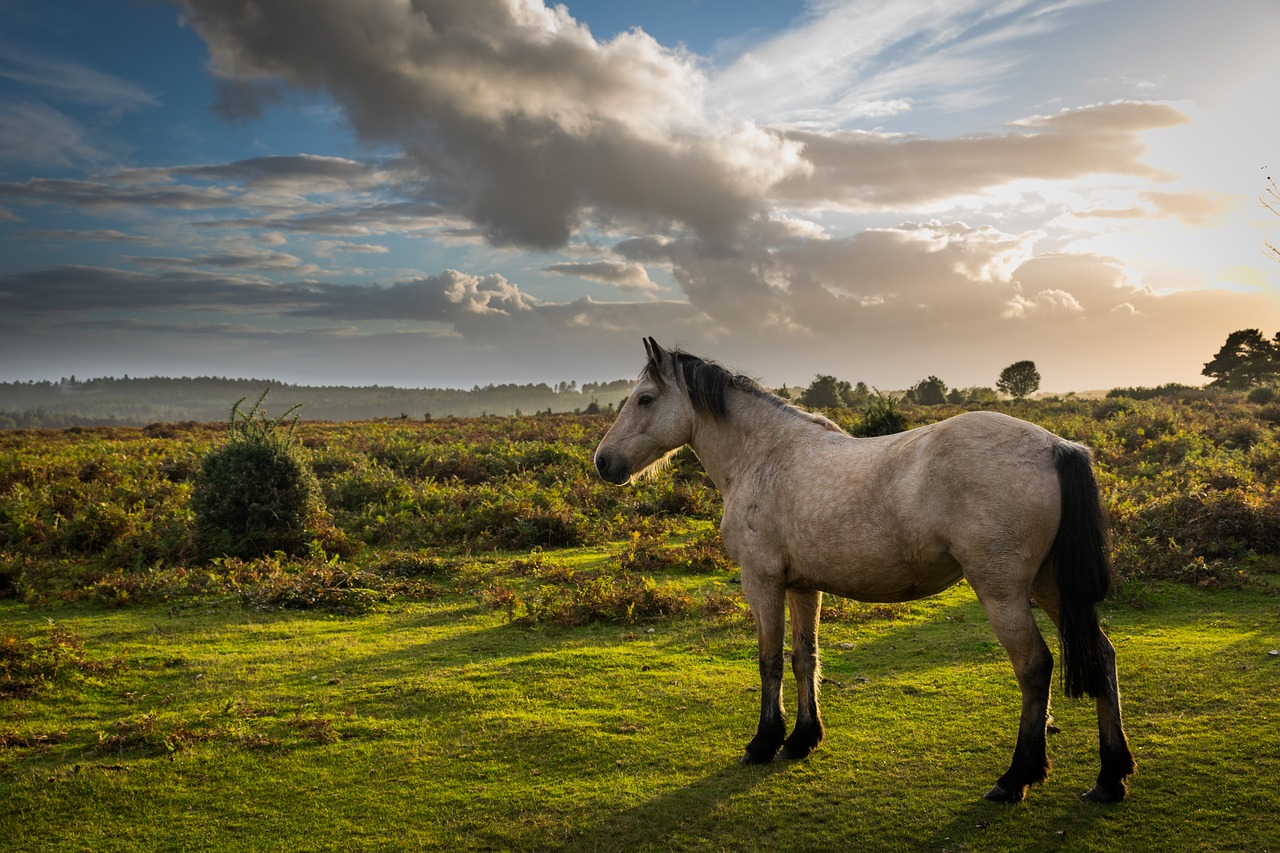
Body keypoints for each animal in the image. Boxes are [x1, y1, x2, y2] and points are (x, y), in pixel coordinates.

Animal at [593, 338, 1136, 799]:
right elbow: (804, 657)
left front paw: (763, 742)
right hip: (1050, 587)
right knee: (1103, 656)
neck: (763, 456)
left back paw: (1016, 777)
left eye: (644, 399)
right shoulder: (801, 586)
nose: (603, 462)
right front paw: (802, 739)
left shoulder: (761, 581)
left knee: (1034, 667)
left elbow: (769, 661)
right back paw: (1110, 777)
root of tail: (1056, 446)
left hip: (1002, 592)